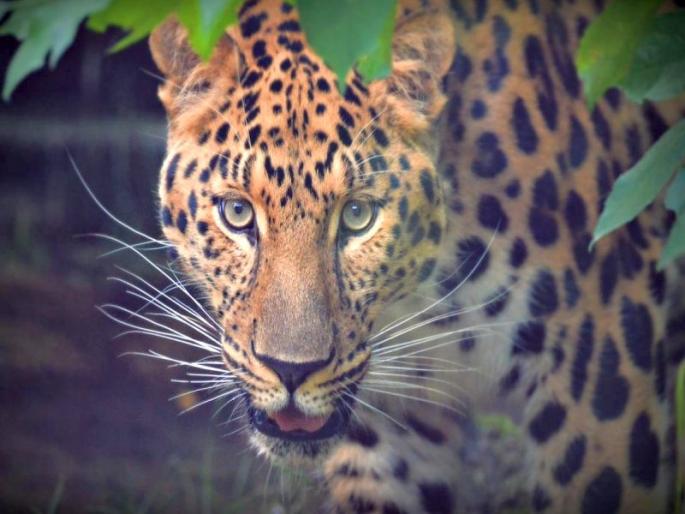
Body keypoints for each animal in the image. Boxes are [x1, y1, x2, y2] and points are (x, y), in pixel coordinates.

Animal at [147, 0, 685, 512]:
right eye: (237, 212)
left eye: (358, 215)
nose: (292, 371)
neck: (429, 300)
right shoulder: (393, 435)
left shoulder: (604, 369)